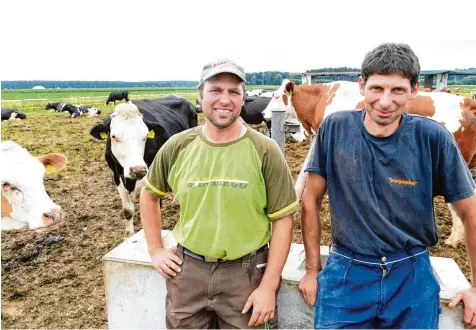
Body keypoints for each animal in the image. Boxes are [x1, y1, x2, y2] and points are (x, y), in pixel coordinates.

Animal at [90, 96, 198, 236]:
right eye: (113, 136)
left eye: (146, 135)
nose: (138, 170)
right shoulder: (116, 175)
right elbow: (128, 211)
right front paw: (129, 235)